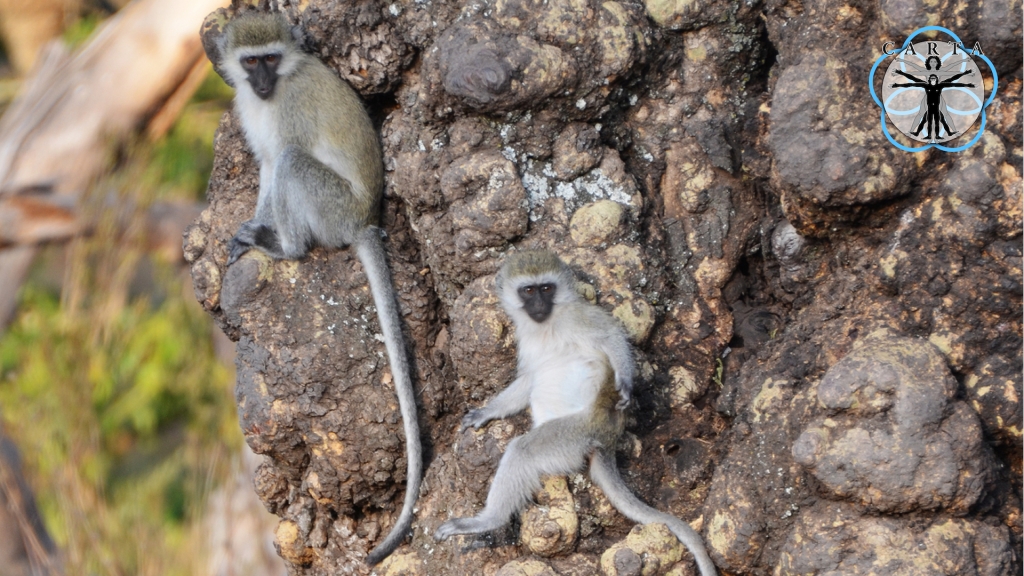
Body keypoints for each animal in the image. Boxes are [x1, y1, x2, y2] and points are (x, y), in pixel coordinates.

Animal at [218, 11, 421, 561]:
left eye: (271, 59)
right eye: (252, 62)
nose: (263, 82)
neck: (276, 89)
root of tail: (364, 221)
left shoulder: (288, 111)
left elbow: (280, 158)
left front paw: (266, 237)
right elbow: (265, 166)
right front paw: (250, 227)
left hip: (332, 209)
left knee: (291, 161)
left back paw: (285, 248)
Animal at [436, 250, 716, 573]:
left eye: (546, 289)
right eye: (529, 291)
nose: (539, 305)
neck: (545, 326)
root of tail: (607, 438)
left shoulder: (577, 314)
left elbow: (611, 336)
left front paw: (625, 381)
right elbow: (528, 378)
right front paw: (487, 411)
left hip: (576, 434)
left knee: (523, 450)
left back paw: (489, 520)